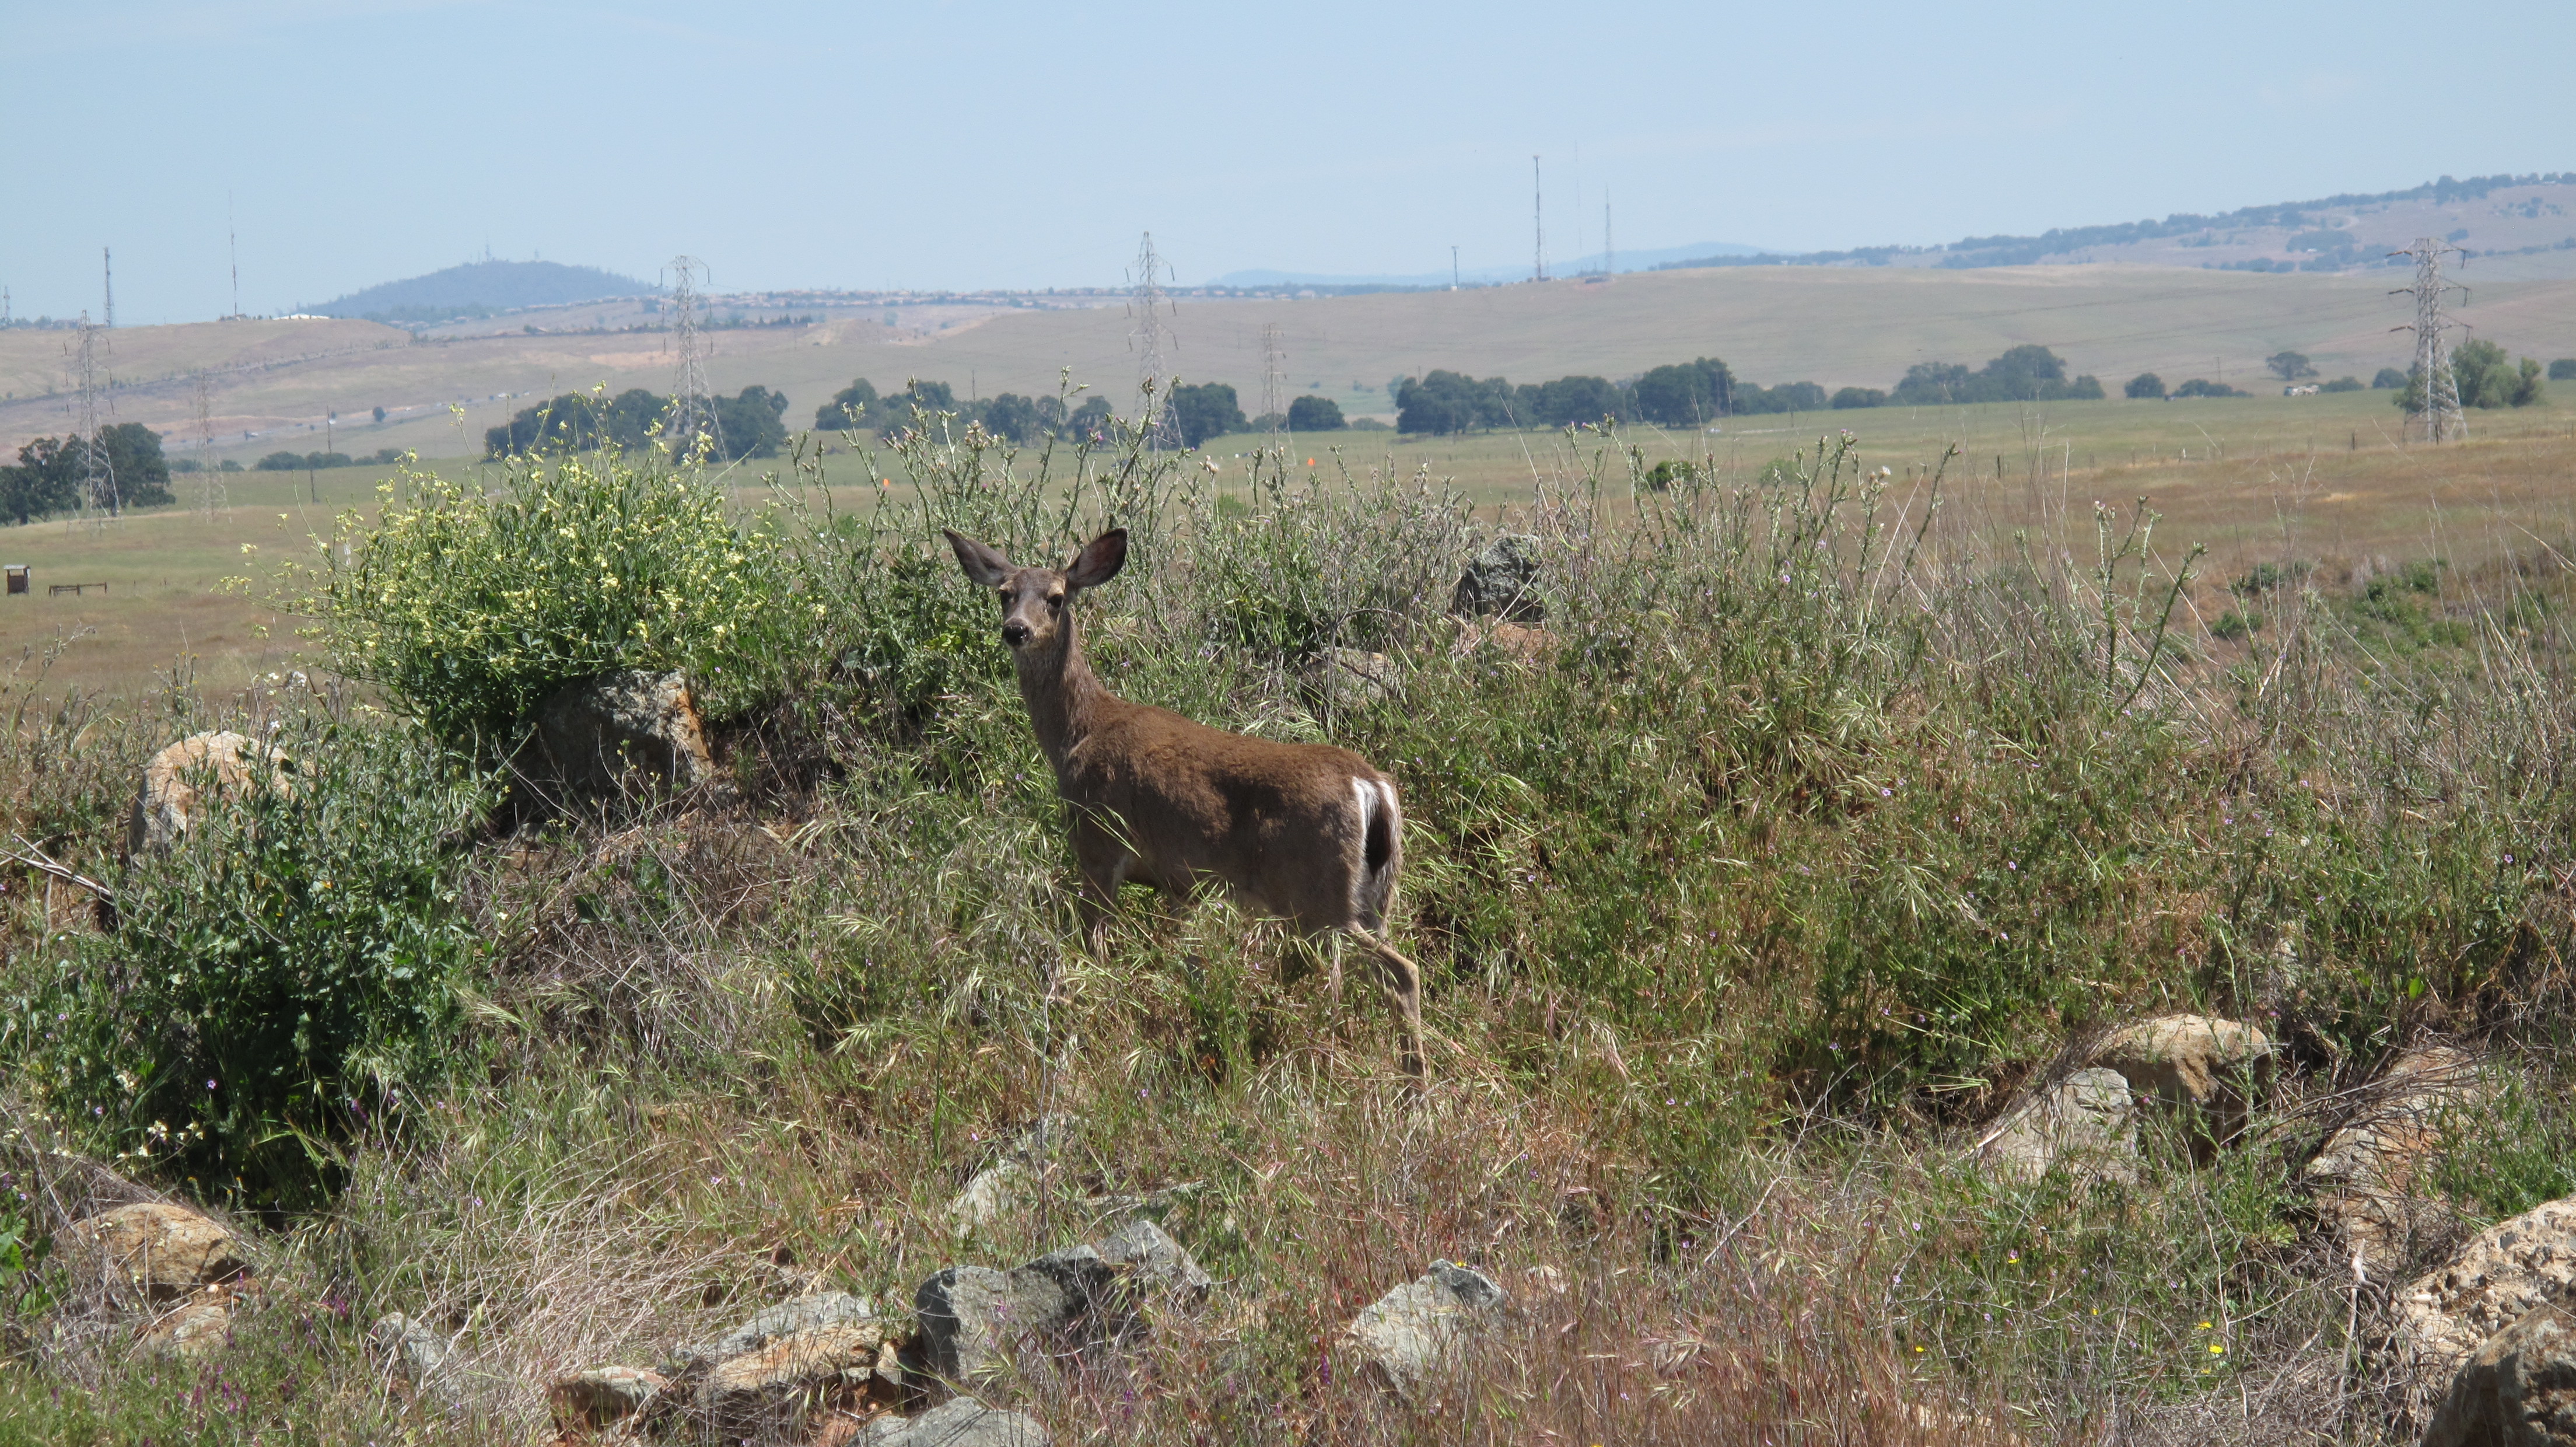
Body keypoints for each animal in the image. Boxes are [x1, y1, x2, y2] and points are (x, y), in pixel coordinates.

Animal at [943, 526, 1428, 1081]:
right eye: (1005, 594)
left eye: (1057, 597)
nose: (1016, 631)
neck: (1077, 735)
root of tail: (1371, 786)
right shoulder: (1180, 884)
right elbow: (1184, 962)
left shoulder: (1098, 844)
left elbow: (1095, 952)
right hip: (1375, 896)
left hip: (1318, 894)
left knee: (1401, 971)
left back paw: (1414, 1082)